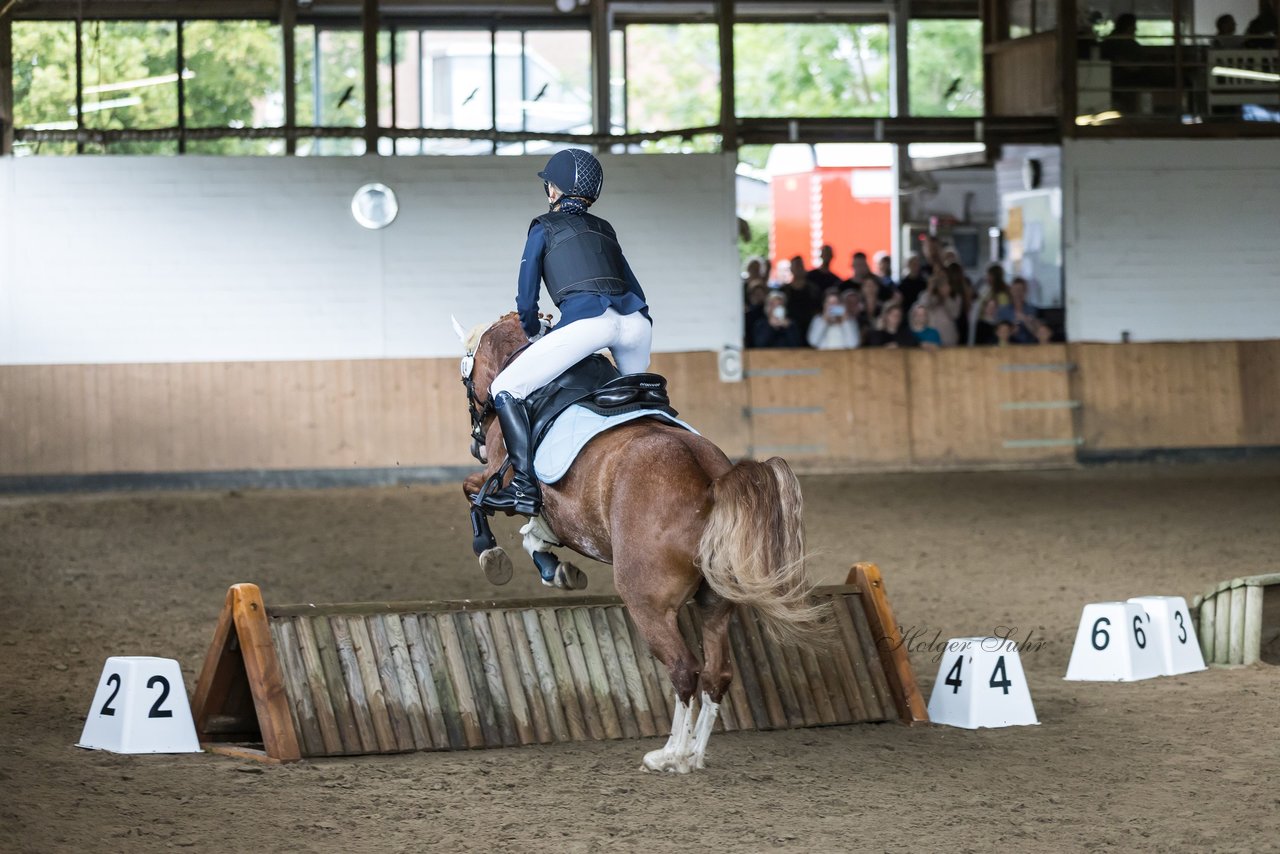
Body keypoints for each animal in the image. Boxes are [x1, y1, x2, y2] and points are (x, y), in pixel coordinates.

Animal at [455, 313, 824, 773]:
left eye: (466, 376)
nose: (474, 438)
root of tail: (711, 480)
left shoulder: (500, 481)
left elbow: (476, 498)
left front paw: (492, 553)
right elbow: (533, 535)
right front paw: (556, 568)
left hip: (647, 602)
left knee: (685, 669)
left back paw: (670, 754)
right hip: (716, 604)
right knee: (716, 674)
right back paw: (693, 755)